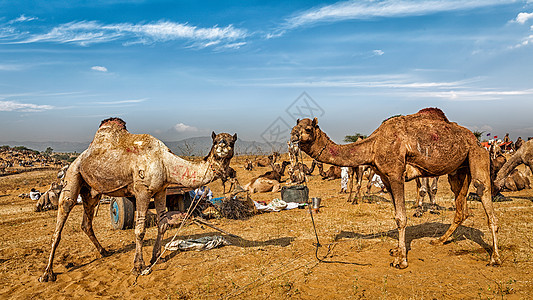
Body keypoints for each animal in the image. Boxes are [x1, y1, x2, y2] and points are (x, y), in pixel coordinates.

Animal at [39, 117, 235, 282]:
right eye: (216, 141)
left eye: (231, 142)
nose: (223, 149)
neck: (165, 162)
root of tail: (80, 157)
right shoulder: (142, 191)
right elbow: (140, 230)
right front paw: (138, 266)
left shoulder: (161, 190)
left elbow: (163, 224)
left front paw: (156, 257)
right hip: (73, 174)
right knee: (62, 216)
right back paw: (48, 273)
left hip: (92, 191)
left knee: (86, 222)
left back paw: (104, 252)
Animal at [288, 108, 500, 270]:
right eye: (294, 127)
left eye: (308, 128)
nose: (293, 136)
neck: (373, 145)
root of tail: (475, 139)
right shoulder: (385, 178)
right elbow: (396, 214)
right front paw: (397, 250)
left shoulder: (396, 174)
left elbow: (401, 218)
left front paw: (401, 260)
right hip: (458, 170)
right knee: (461, 207)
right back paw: (439, 240)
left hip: (477, 154)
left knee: (483, 194)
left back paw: (495, 258)